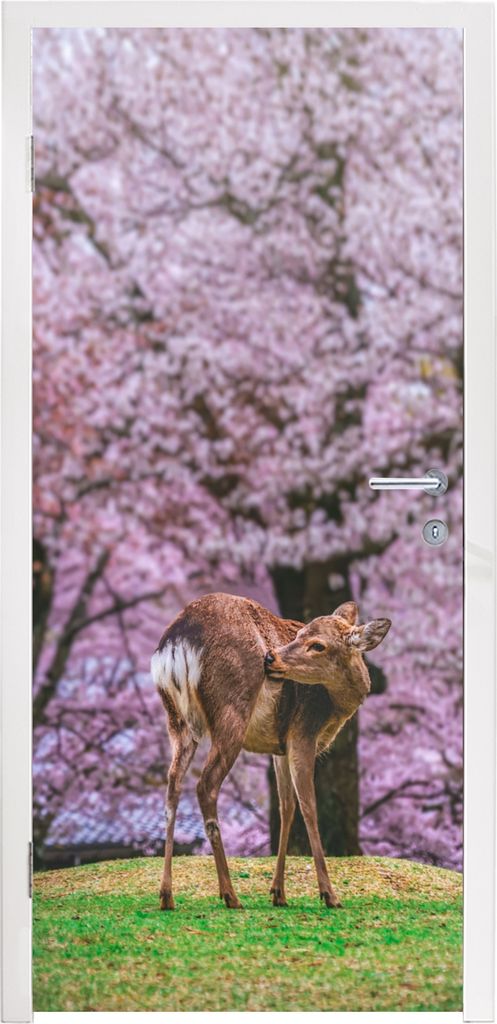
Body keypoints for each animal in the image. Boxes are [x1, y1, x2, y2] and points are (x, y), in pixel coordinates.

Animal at [150, 592, 391, 911]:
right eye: (301, 634)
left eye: (317, 644)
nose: (271, 657)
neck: (336, 708)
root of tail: (177, 642)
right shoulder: (303, 730)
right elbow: (309, 806)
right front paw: (329, 894)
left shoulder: (280, 747)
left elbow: (286, 807)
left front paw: (278, 893)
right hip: (231, 711)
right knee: (206, 785)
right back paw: (230, 895)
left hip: (176, 720)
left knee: (172, 786)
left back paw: (167, 895)